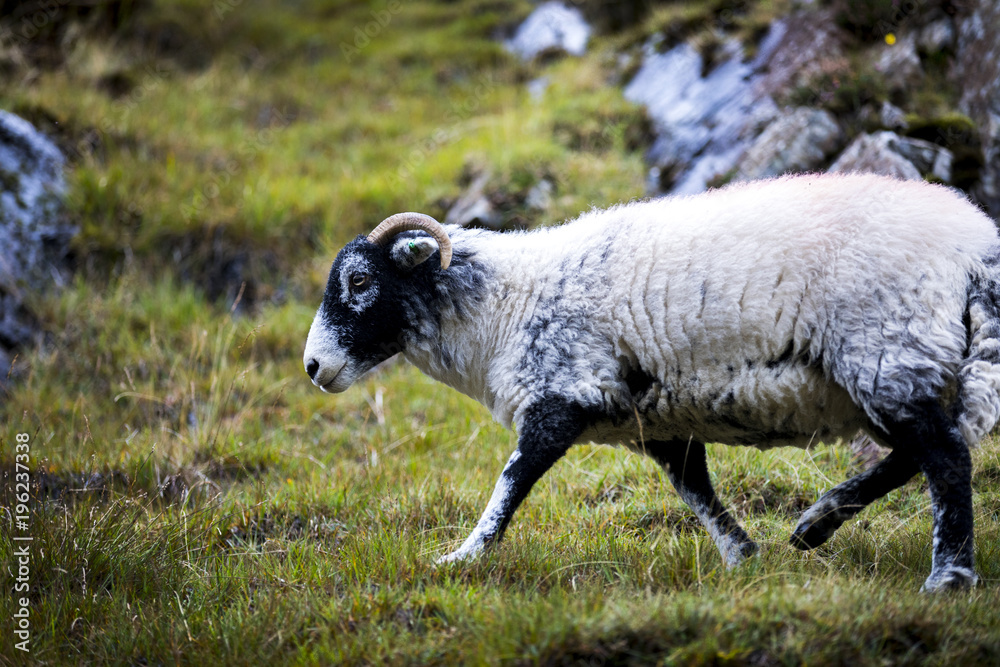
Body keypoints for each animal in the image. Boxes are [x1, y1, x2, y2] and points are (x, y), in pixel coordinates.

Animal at [303, 173, 1000, 592]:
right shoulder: (655, 420)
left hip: (887, 347)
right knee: (920, 451)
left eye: (360, 281)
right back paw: (815, 525)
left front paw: (461, 558)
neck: (503, 306)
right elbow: (697, 491)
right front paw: (743, 558)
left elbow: (509, 484)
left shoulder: (559, 394)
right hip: (901, 363)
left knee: (945, 456)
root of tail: (977, 248)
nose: (313, 368)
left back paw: (949, 576)